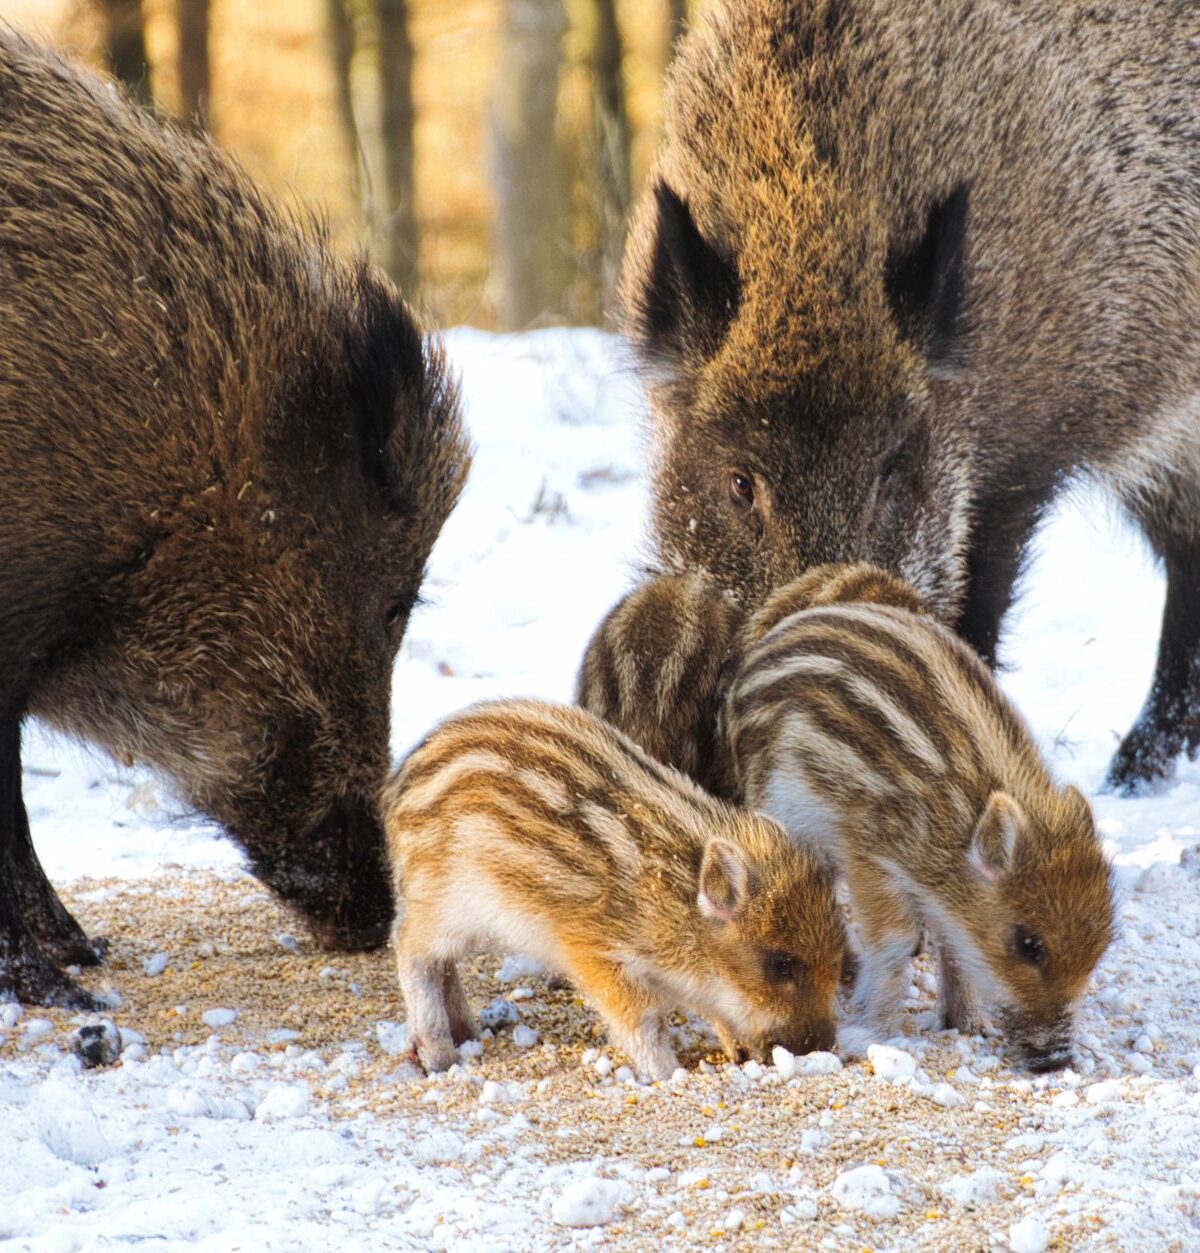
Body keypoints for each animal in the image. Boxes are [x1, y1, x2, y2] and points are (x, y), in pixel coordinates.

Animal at [383, 698, 843, 1078]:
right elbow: (643, 1018)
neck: (673, 904)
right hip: (444, 901)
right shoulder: (596, 952)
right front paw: (667, 1074)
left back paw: (466, 1033)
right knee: (411, 946)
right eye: (781, 964)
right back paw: (439, 1054)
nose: (821, 1048)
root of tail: (398, 787)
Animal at [723, 564, 1114, 1071]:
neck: (952, 821)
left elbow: (953, 946)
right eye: (1029, 945)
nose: (1056, 1059)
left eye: (1099, 950)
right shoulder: (867, 852)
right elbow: (893, 940)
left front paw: (970, 1025)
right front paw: (870, 1033)